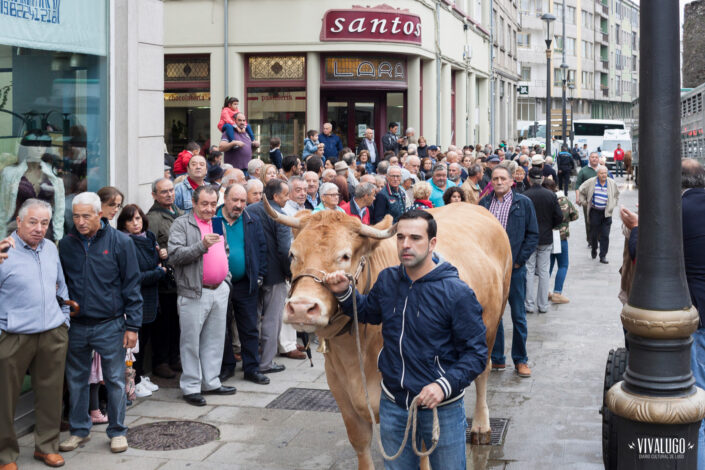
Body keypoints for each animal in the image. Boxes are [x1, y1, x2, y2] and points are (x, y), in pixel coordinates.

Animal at [264, 202, 512, 470]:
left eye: (344, 256)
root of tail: (472, 205)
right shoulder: (340, 391)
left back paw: (481, 426)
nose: (301, 308)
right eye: (292, 254)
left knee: (482, 372)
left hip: (491, 324)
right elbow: (360, 442)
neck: (355, 354)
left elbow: (422, 451)